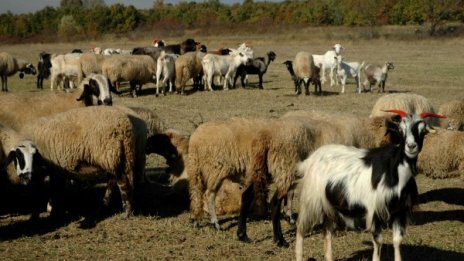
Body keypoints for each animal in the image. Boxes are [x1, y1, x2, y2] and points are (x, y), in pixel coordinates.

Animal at [19, 105, 147, 217]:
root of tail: (125, 126)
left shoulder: (52, 168)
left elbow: (54, 188)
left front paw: (52, 209)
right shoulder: (56, 168)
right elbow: (57, 187)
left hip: (112, 156)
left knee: (123, 182)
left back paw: (126, 212)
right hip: (123, 157)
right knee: (117, 181)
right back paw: (107, 205)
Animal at [296, 108, 444, 260]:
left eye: (423, 130)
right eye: (401, 129)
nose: (411, 146)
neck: (395, 171)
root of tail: (311, 159)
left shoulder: (400, 211)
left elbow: (397, 241)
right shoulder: (374, 210)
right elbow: (378, 241)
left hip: (329, 205)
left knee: (327, 231)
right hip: (311, 200)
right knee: (301, 228)